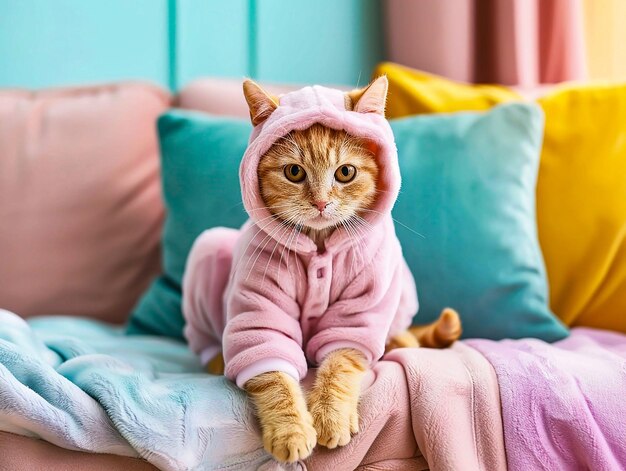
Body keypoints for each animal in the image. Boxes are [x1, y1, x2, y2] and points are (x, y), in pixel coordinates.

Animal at [180, 77, 458, 464]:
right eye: (294, 172)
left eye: (345, 172)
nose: (321, 203)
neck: (319, 246)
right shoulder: (263, 314)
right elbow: (274, 379)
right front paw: (291, 430)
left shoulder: (356, 318)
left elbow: (339, 367)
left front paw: (330, 416)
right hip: (209, 250)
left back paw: (398, 340)